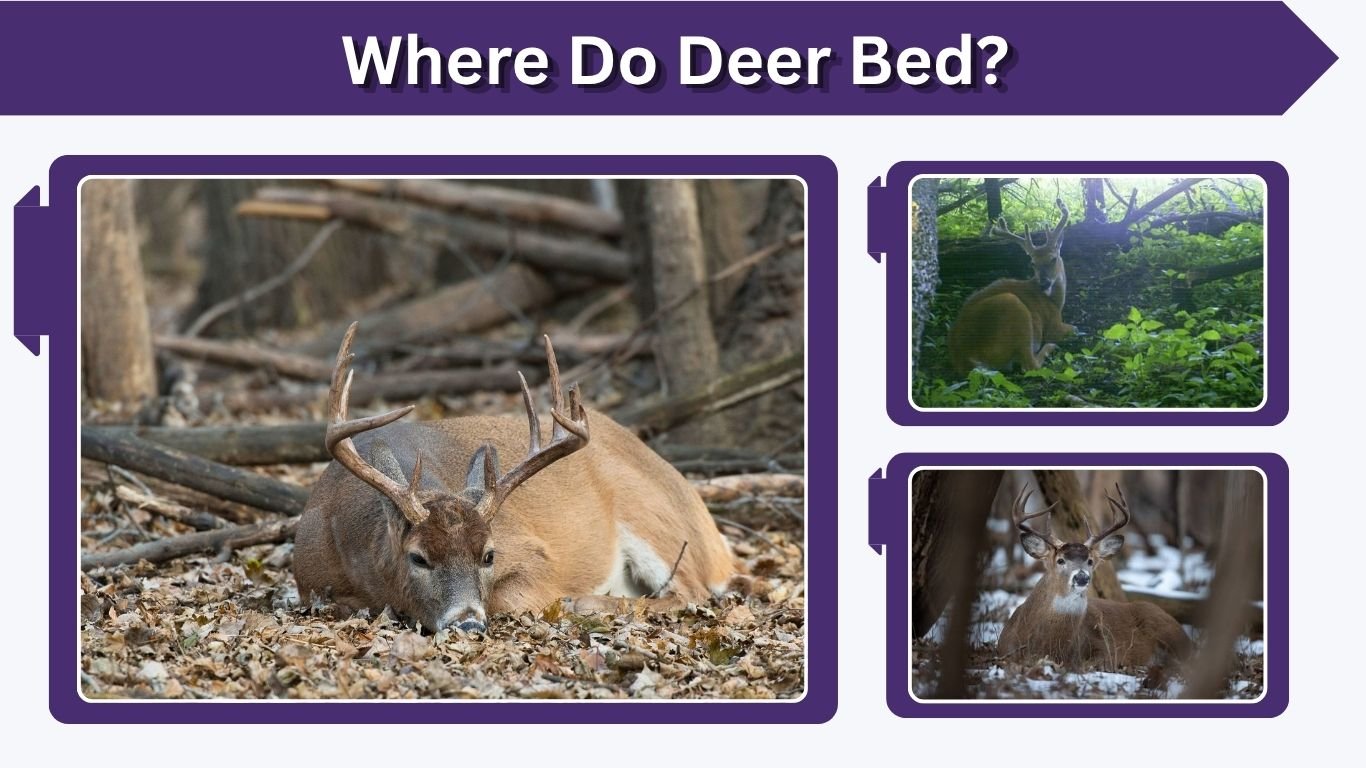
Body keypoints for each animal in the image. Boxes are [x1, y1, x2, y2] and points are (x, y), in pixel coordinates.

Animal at [293, 322, 737, 633]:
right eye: (418, 557)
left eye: (489, 554)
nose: (468, 622)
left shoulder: (534, 554)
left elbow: (513, 597)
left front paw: (567, 601)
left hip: (653, 514)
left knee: (693, 591)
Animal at [947, 198, 1075, 377]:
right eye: (1033, 263)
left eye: (1053, 259)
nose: (1043, 283)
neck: (1055, 301)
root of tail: (965, 359)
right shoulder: (1054, 325)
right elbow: (1074, 328)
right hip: (1013, 307)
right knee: (1030, 365)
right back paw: (1050, 348)